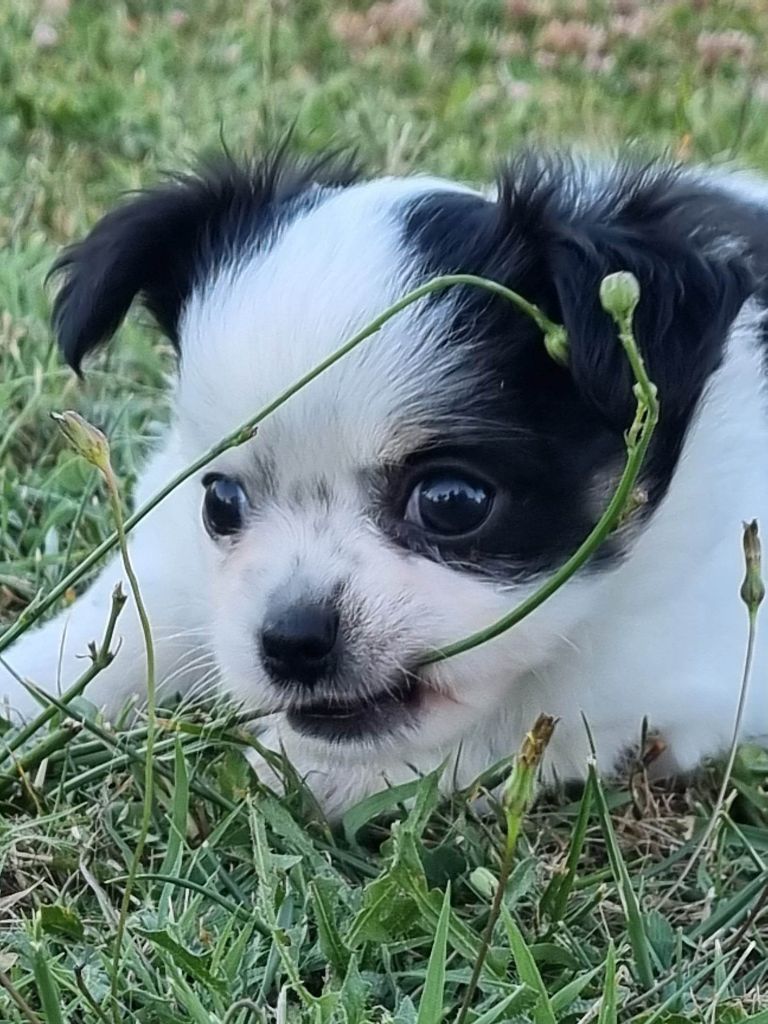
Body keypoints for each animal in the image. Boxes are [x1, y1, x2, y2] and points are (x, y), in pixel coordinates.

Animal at [1, 149, 768, 815]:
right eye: (220, 503)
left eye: (452, 502)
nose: (292, 640)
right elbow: (134, 619)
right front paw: (24, 689)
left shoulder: (676, 661)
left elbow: (535, 709)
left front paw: (324, 770)